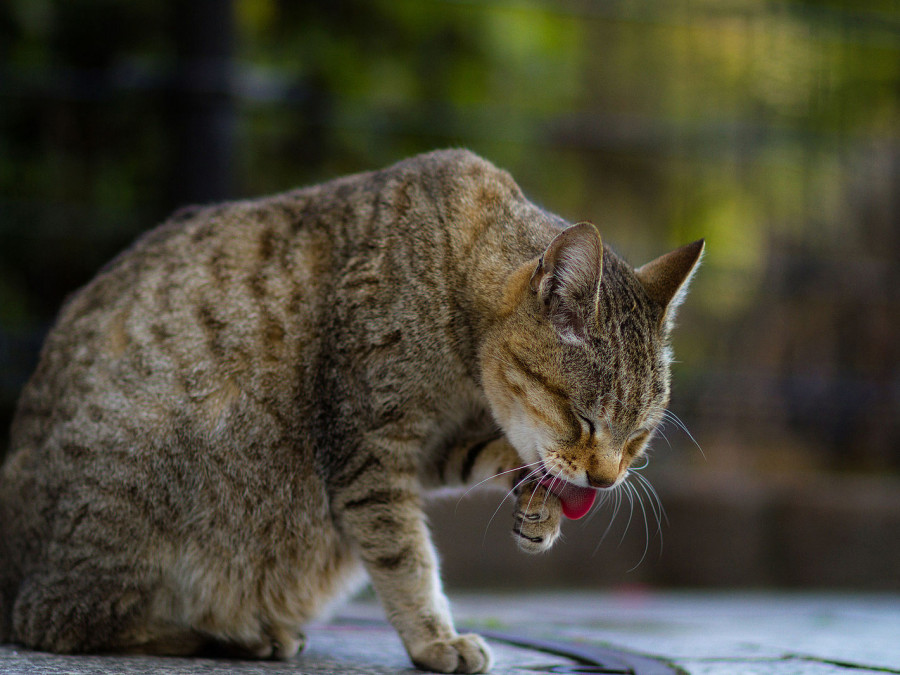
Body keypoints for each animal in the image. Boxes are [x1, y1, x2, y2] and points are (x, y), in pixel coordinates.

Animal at [0, 151, 704, 672]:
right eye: (584, 419)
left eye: (638, 438)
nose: (607, 481)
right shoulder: (368, 451)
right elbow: (406, 558)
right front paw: (434, 640)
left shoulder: (427, 450)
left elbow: (495, 455)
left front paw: (540, 505)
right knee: (59, 623)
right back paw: (234, 634)